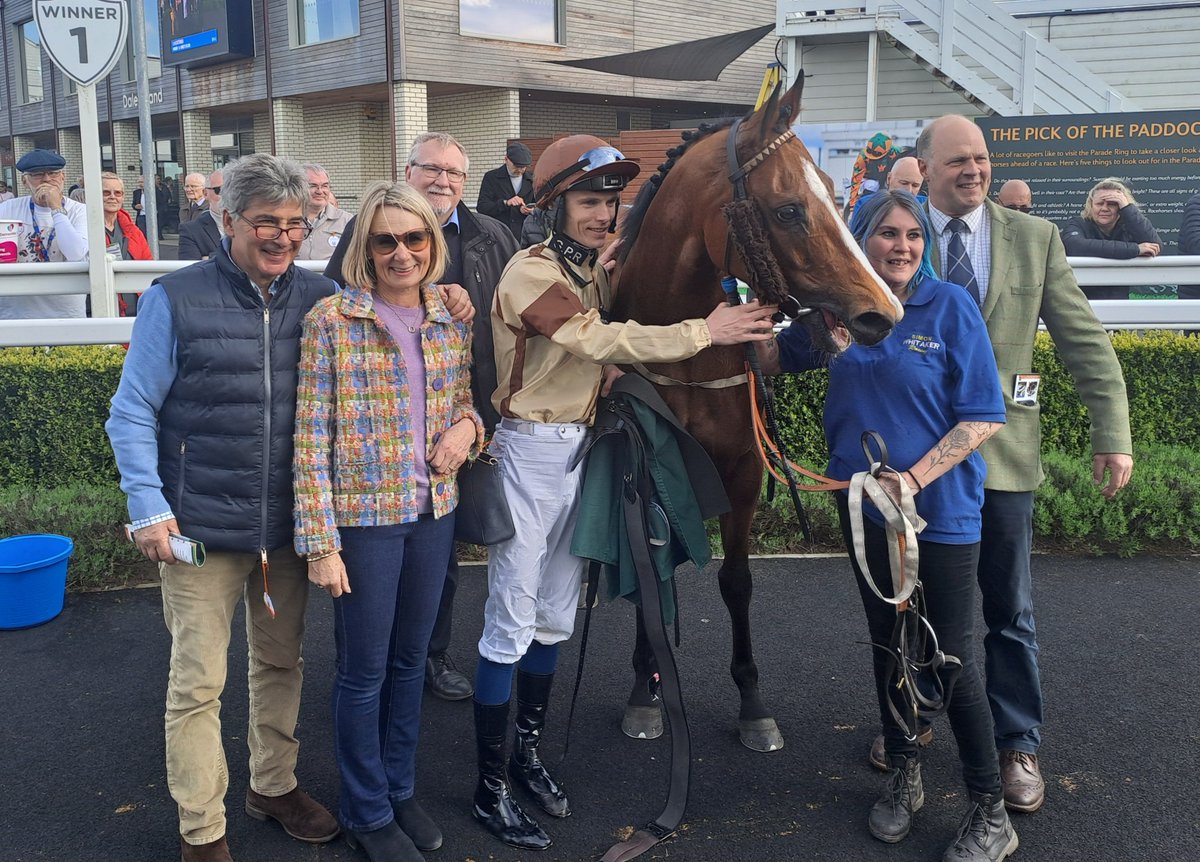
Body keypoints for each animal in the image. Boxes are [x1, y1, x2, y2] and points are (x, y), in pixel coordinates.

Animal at [609, 82, 902, 758]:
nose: (884, 311)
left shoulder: (742, 471)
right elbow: (648, 574)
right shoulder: (645, 469)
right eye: (790, 209)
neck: (686, 354)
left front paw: (752, 703)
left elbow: (737, 581)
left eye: (834, 185)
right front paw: (643, 693)